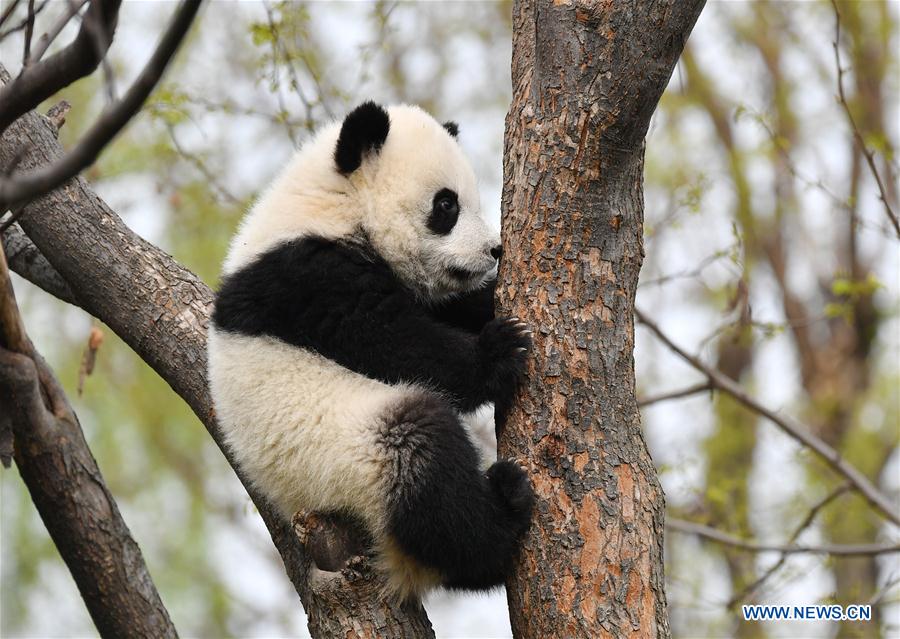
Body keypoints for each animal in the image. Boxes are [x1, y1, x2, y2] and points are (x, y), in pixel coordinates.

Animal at [209, 101, 536, 600]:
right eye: (447, 205)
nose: (494, 250)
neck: (333, 205)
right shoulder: (307, 278)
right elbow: (390, 340)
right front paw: (500, 350)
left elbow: (446, 308)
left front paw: (488, 306)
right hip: (342, 458)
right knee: (424, 455)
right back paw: (504, 515)